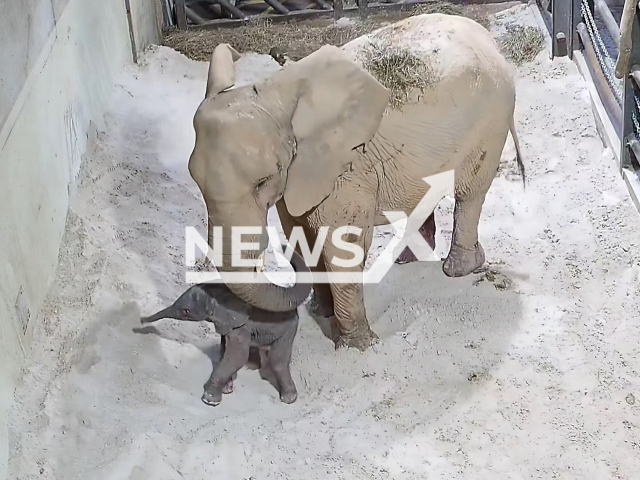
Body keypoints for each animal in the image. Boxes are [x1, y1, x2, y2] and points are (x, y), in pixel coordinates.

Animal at [141, 251, 312, 404]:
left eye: (186, 311)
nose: (142, 321)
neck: (218, 294)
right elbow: (225, 349)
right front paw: (227, 388)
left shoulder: (240, 327)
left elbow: (238, 356)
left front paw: (209, 400)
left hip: (289, 330)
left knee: (278, 361)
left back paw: (289, 399)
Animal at [186, 13, 524, 350]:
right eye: (196, 183)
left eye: (263, 181)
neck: (276, 97)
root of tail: (489, 39)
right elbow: (302, 234)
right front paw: (322, 314)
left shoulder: (344, 170)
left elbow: (343, 245)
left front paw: (359, 347)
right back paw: (407, 261)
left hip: (490, 120)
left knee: (470, 192)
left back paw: (459, 269)